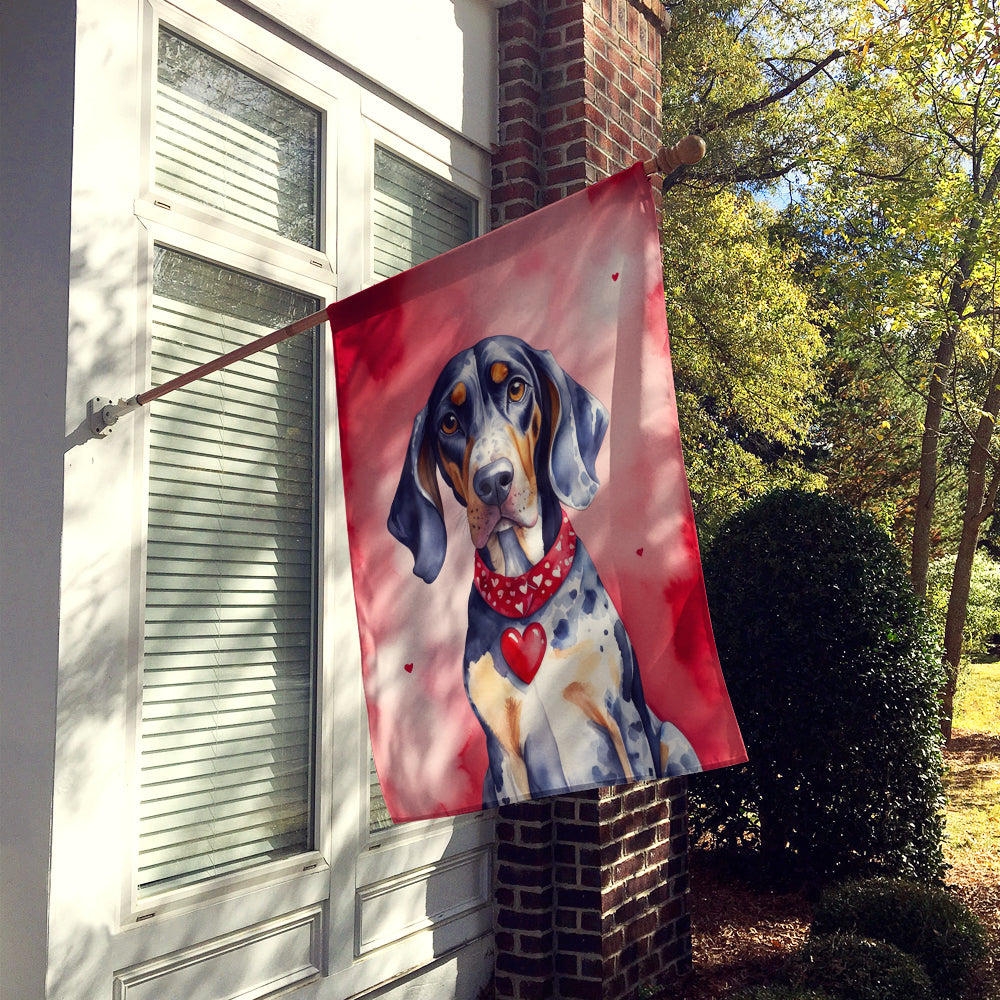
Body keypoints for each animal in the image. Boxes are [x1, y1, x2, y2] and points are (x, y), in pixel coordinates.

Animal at [386, 336, 700, 804]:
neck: (525, 595)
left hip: (674, 736)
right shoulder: (502, 755)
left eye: (517, 388)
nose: (492, 481)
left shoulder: (623, 722)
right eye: (448, 423)